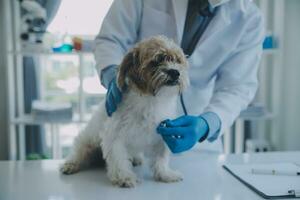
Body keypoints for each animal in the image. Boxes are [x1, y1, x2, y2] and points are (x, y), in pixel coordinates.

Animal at [59, 36, 189, 188]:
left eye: (177, 61)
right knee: (78, 153)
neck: (151, 101)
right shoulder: (114, 136)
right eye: (157, 60)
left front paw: (165, 174)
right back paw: (70, 164)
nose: (175, 72)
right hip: (86, 143)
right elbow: (118, 159)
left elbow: (160, 158)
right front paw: (125, 177)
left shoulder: (162, 134)